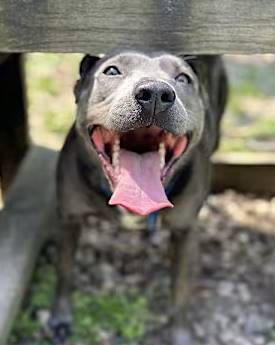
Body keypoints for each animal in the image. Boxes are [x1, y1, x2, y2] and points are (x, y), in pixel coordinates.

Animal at [50, 49, 229, 342]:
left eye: (183, 78)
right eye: (112, 71)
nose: (156, 92)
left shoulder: (185, 232)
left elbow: (181, 293)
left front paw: (180, 335)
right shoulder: (69, 218)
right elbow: (64, 270)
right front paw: (61, 317)